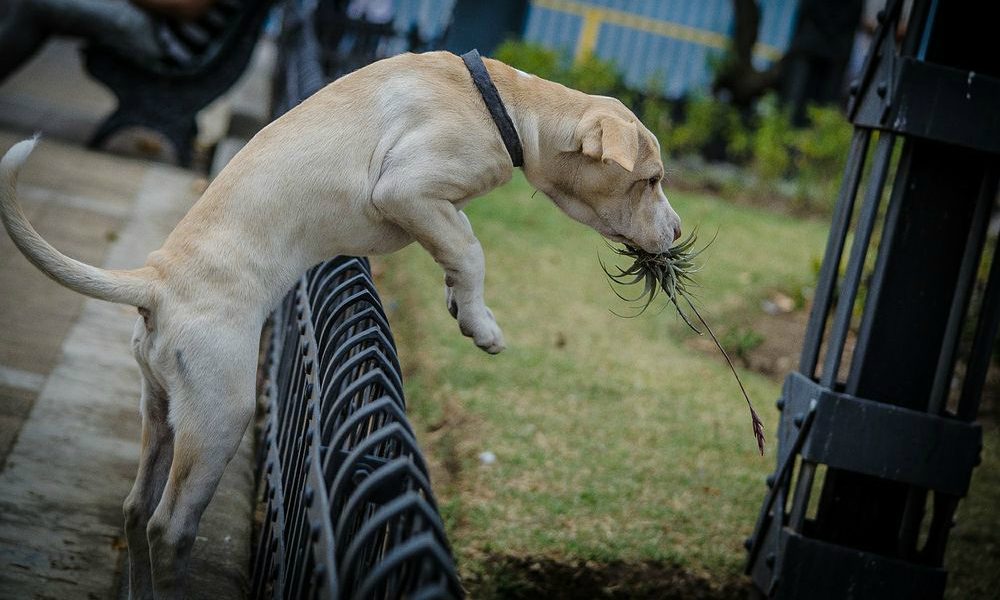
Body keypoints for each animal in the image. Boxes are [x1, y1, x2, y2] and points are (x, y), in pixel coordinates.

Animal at [0, 50, 680, 596]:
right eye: (650, 180)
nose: (676, 234)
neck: (505, 106)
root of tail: (158, 281)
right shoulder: (407, 188)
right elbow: (470, 246)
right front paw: (481, 324)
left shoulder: (430, 206)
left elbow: (458, 243)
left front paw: (463, 305)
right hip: (219, 412)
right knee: (169, 527)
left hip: (162, 408)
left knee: (136, 511)